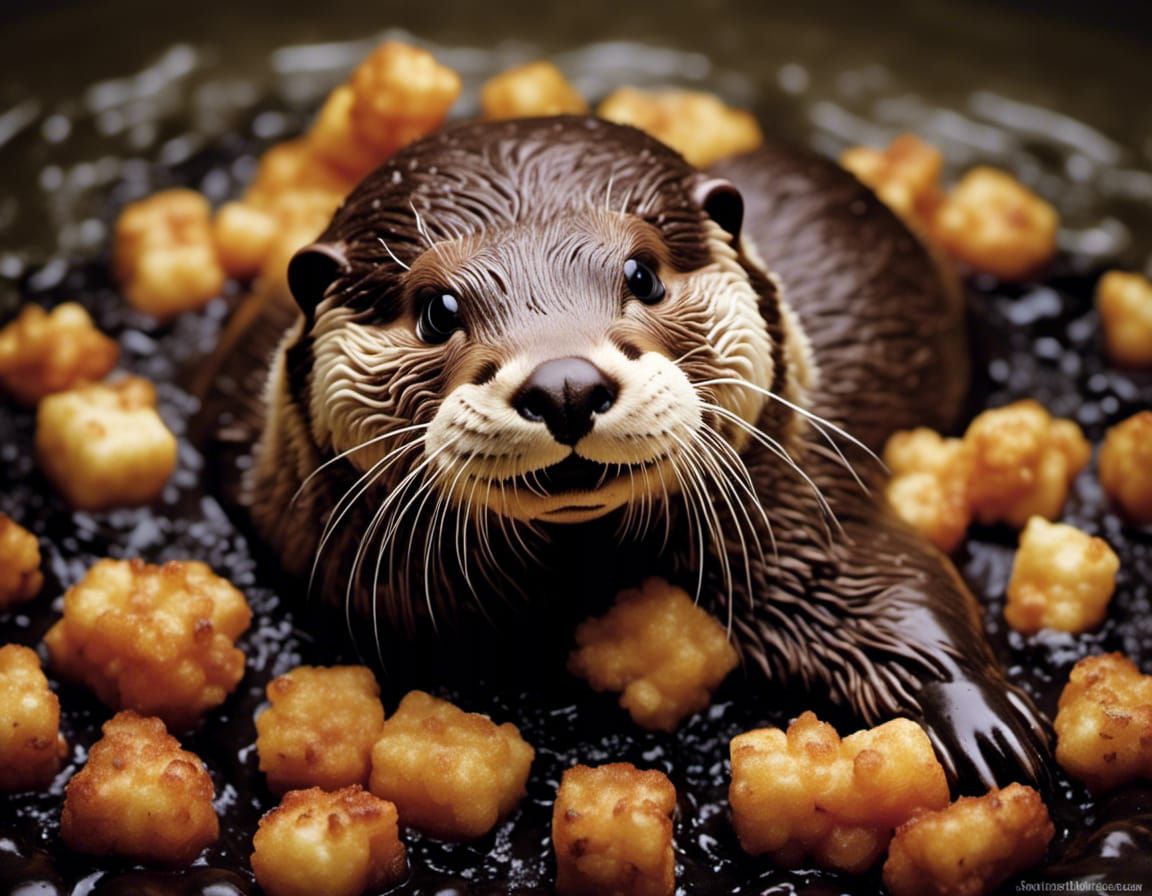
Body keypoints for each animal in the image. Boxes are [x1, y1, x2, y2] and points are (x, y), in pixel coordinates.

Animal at [205, 116, 1050, 793]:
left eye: (642, 273)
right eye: (437, 310)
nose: (566, 383)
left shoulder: (798, 521)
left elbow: (896, 585)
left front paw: (979, 719)